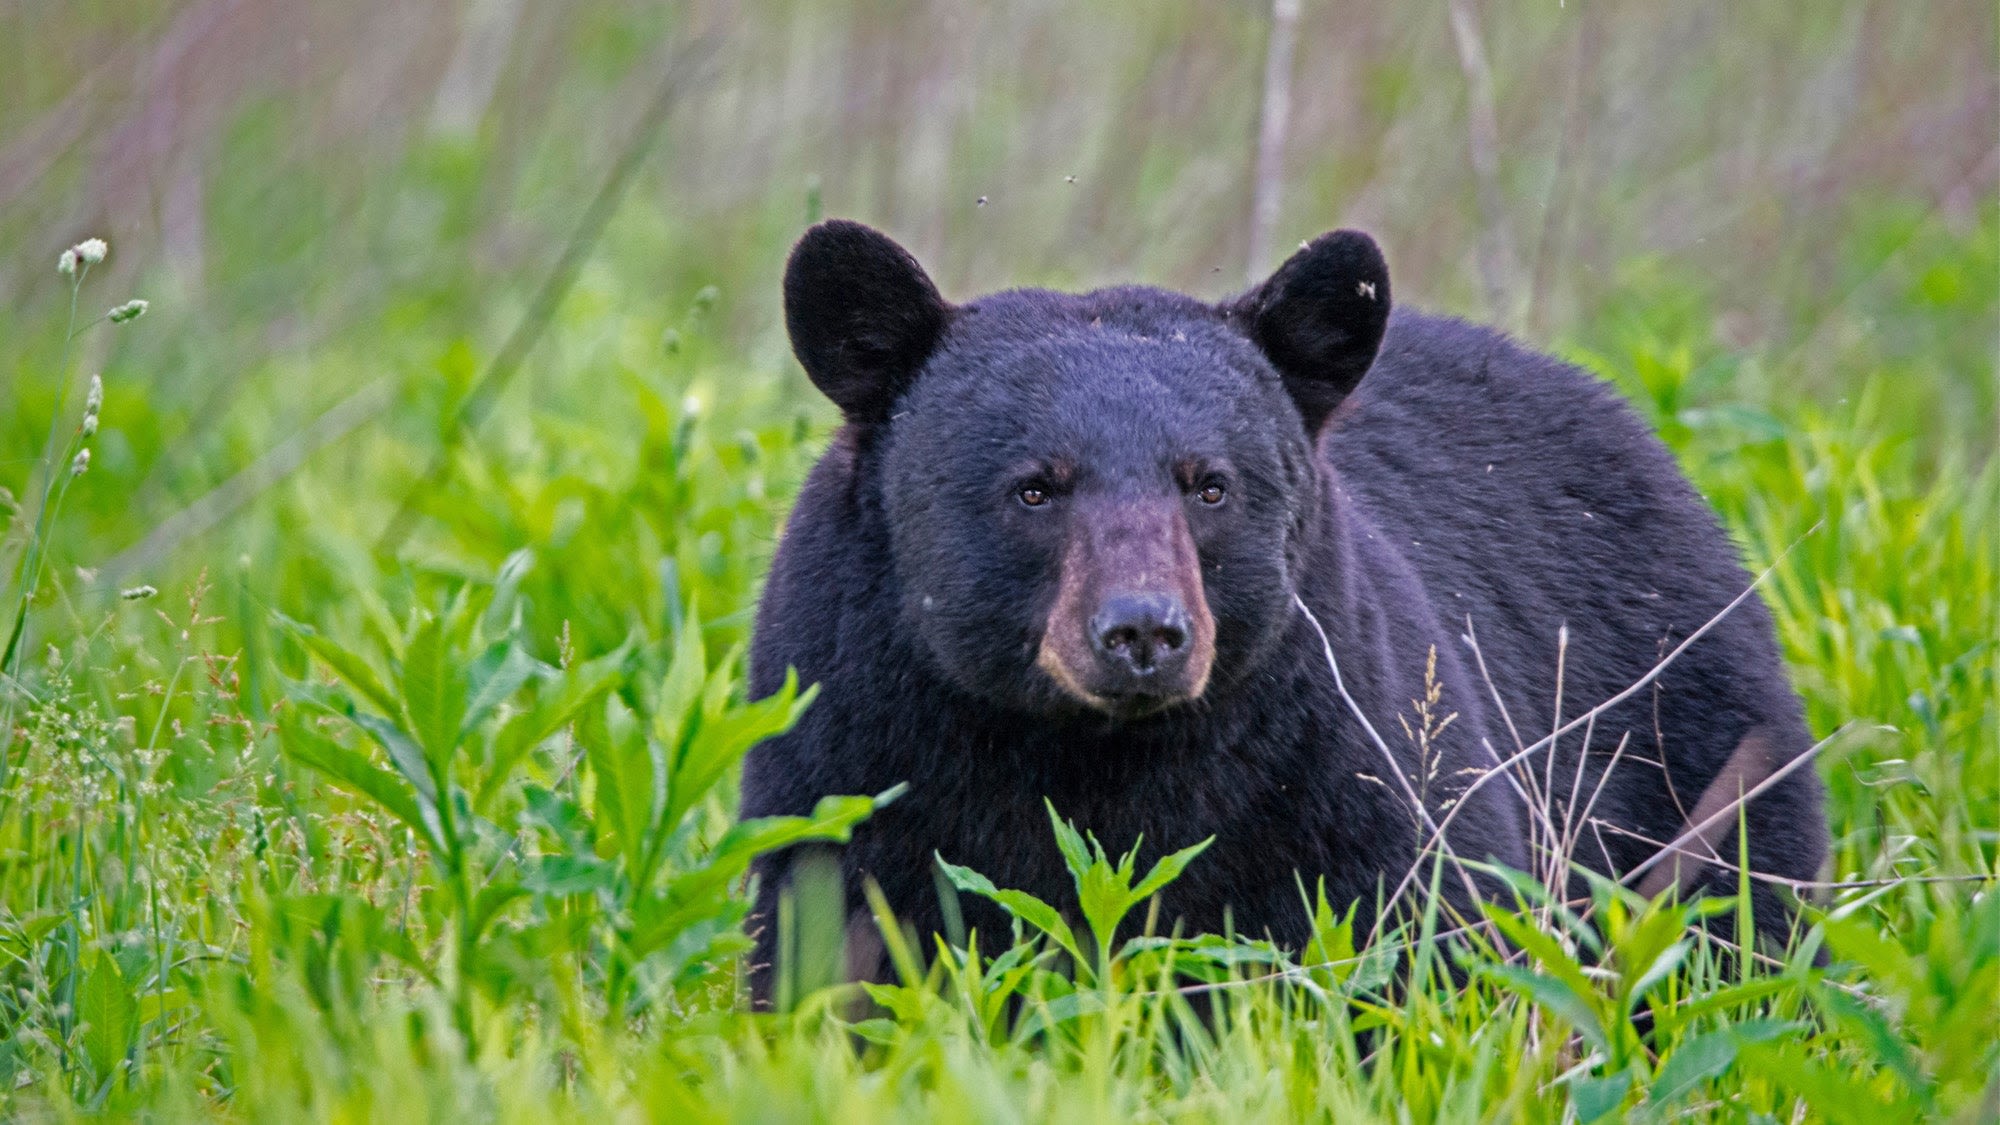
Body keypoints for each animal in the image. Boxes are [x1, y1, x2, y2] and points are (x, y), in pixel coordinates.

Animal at [740, 217, 1832, 996]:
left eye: (1209, 484)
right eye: (1035, 488)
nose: (1143, 631)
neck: (1092, 756)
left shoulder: (1340, 762)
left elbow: (1423, 942)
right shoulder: (850, 745)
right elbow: (832, 944)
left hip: (1688, 756)